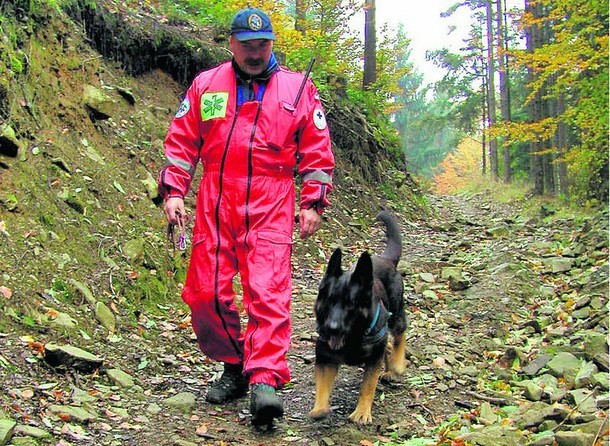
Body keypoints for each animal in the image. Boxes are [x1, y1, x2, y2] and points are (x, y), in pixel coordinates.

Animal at [306, 212, 406, 426]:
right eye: (329, 301)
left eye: (350, 305)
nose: (332, 328)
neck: (351, 338)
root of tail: (385, 259)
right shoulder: (325, 359)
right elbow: (322, 386)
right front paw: (320, 408)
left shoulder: (373, 360)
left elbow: (368, 387)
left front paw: (361, 411)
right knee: (389, 346)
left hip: (396, 316)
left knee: (400, 335)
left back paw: (397, 364)